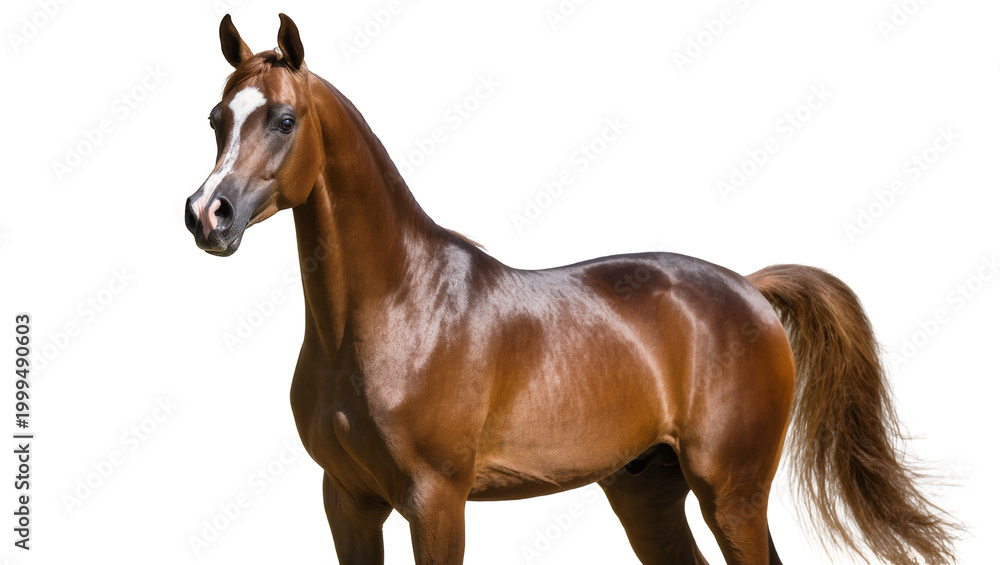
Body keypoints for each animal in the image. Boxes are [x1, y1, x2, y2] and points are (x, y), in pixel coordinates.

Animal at [184, 14, 958, 565]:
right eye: (218, 119)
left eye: (284, 120)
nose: (206, 215)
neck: (395, 312)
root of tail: (750, 289)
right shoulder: (347, 500)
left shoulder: (436, 502)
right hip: (647, 490)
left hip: (732, 491)